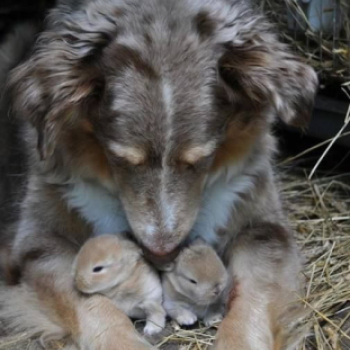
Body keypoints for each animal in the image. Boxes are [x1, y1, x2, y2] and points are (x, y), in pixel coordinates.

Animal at [0, 0, 318, 350]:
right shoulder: (38, 243)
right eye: (119, 159)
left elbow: (252, 297)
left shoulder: (262, 226)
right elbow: (89, 301)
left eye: (202, 159)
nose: (161, 254)